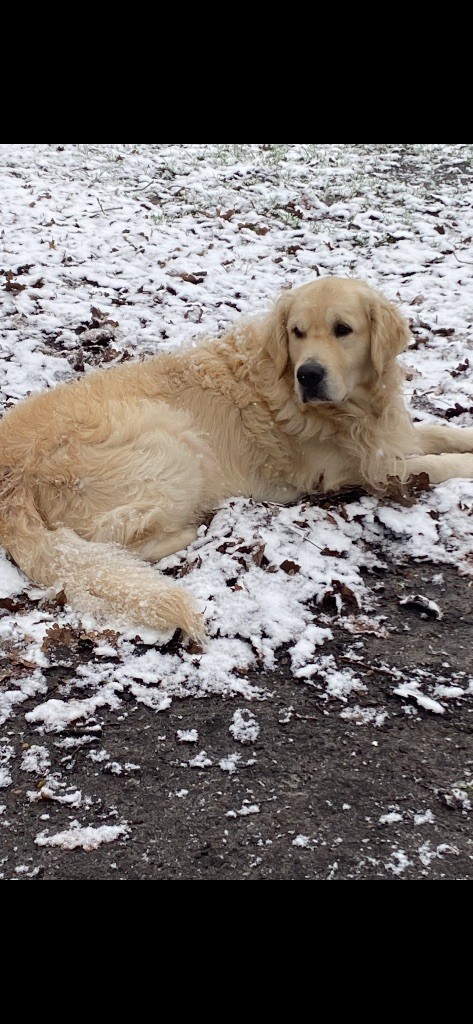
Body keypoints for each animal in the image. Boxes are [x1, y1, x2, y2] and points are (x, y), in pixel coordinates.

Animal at [0, 276, 473, 643]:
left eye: (343, 329)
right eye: (297, 332)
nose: (308, 375)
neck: (351, 409)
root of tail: (12, 469)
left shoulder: (388, 439)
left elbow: (440, 433)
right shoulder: (362, 471)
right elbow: (441, 464)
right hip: (172, 439)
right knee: (109, 538)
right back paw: (194, 529)